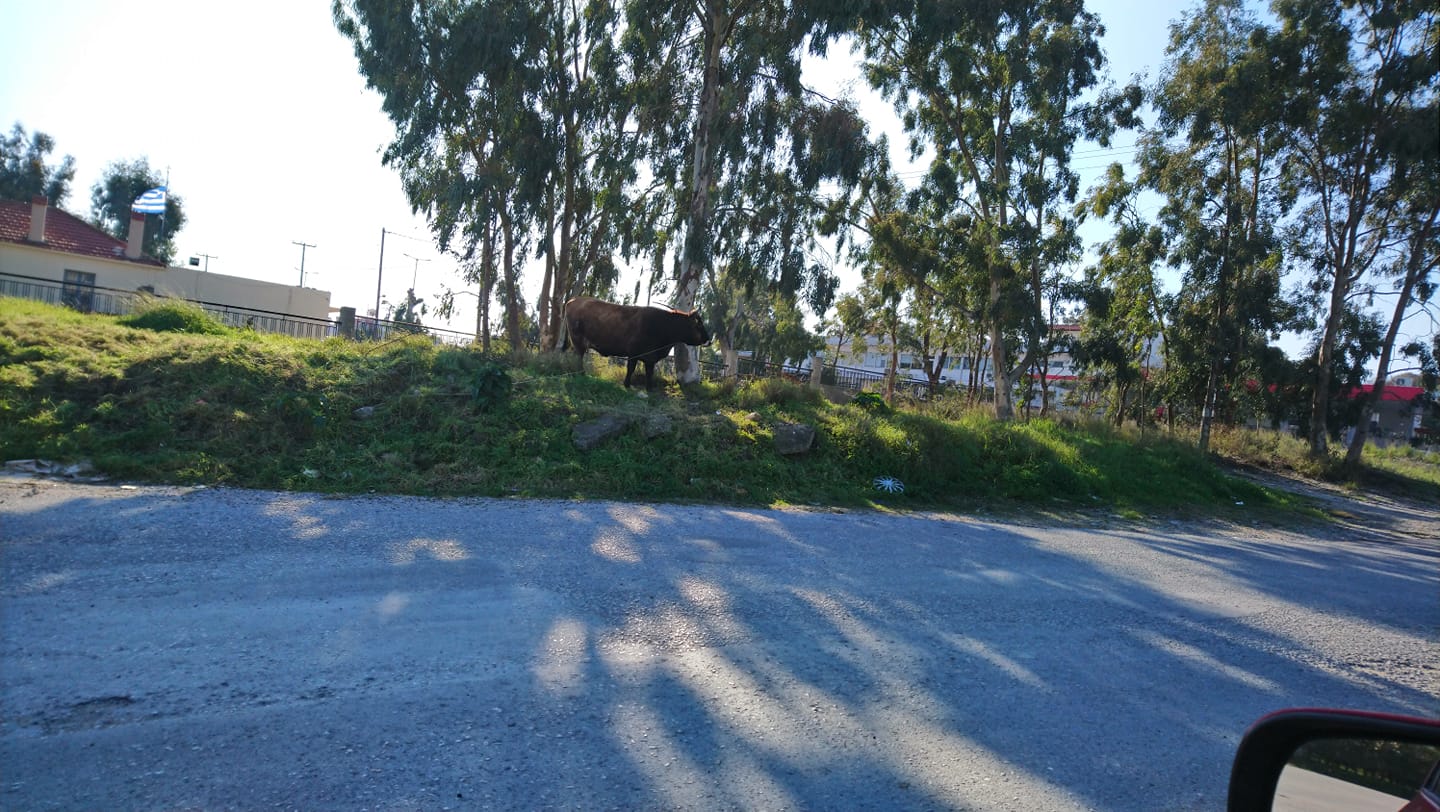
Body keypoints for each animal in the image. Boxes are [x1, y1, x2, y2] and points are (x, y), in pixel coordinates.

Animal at [563, 297, 712, 388]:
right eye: (699, 324)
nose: (708, 339)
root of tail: (573, 300)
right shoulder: (633, 353)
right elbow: (631, 369)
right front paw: (627, 384)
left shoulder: (650, 358)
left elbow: (649, 372)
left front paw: (649, 387)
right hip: (577, 340)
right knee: (578, 357)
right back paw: (580, 374)